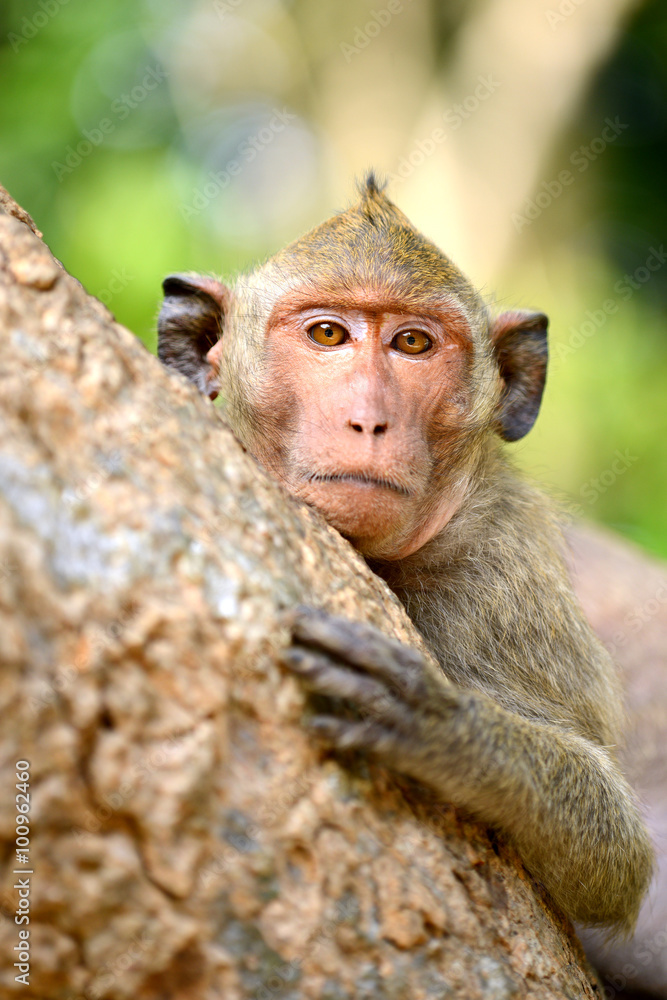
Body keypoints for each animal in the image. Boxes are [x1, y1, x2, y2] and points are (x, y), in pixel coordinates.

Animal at [157, 174, 654, 944]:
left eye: (413, 343)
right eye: (328, 335)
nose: (369, 419)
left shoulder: (502, 578)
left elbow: (615, 858)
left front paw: (439, 724)